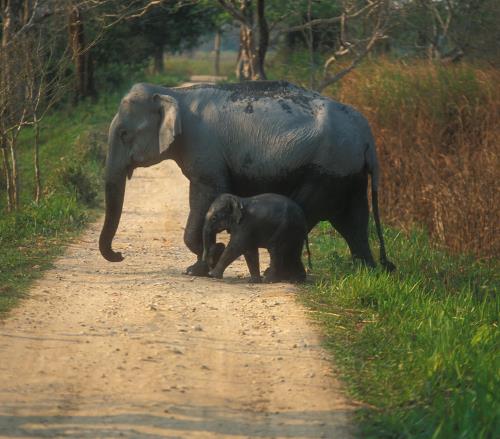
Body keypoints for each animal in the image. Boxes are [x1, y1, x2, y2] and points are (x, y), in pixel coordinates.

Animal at [97, 80, 394, 276]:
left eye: (124, 134)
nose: (120, 255)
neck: (173, 93)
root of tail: (367, 135)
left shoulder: (205, 151)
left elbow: (206, 195)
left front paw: (201, 265)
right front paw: (204, 262)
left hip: (325, 169)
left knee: (309, 212)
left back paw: (276, 275)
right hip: (348, 172)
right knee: (352, 220)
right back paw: (369, 273)